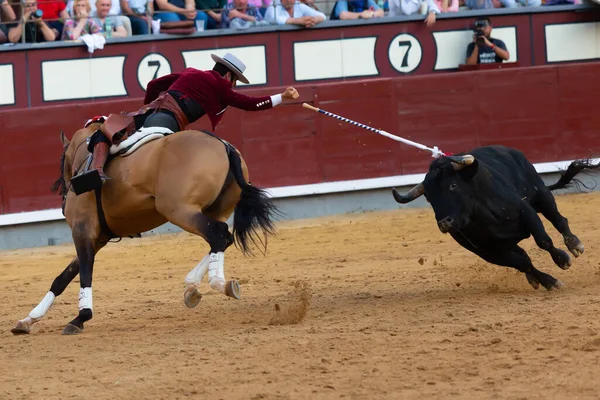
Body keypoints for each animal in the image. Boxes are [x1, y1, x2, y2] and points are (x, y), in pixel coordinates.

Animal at [9, 123, 282, 336]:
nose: (64, 198)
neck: (82, 160)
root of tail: (224, 145)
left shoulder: (83, 232)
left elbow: (84, 274)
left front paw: (80, 317)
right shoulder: (98, 239)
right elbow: (62, 277)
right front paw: (28, 320)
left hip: (179, 211)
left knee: (217, 235)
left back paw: (217, 283)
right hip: (212, 209)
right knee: (223, 237)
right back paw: (193, 286)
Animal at [392, 145, 596, 290]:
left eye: (453, 185)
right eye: (429, 197)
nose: (444, 222)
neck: (481, 215)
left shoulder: (526, 211)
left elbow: (543, 241)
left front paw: (563, 260)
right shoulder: (488, 252)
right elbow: (523, 263)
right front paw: (549, 282)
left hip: (541, 194)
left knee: (559, 220)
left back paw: (575, 245)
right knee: (523, 253)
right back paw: (533, 278)